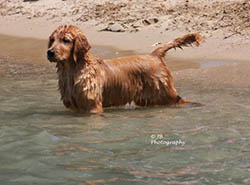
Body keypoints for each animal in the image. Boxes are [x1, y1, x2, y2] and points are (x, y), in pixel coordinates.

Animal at [47, 25, 203, 113]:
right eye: (52, 40)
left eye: (66, 40)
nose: (50, 52)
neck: (71, 71)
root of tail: (154, 55)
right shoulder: (72, 106)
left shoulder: (92, 106)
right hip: (148, 98)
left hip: (164, 92)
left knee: (180, 100)